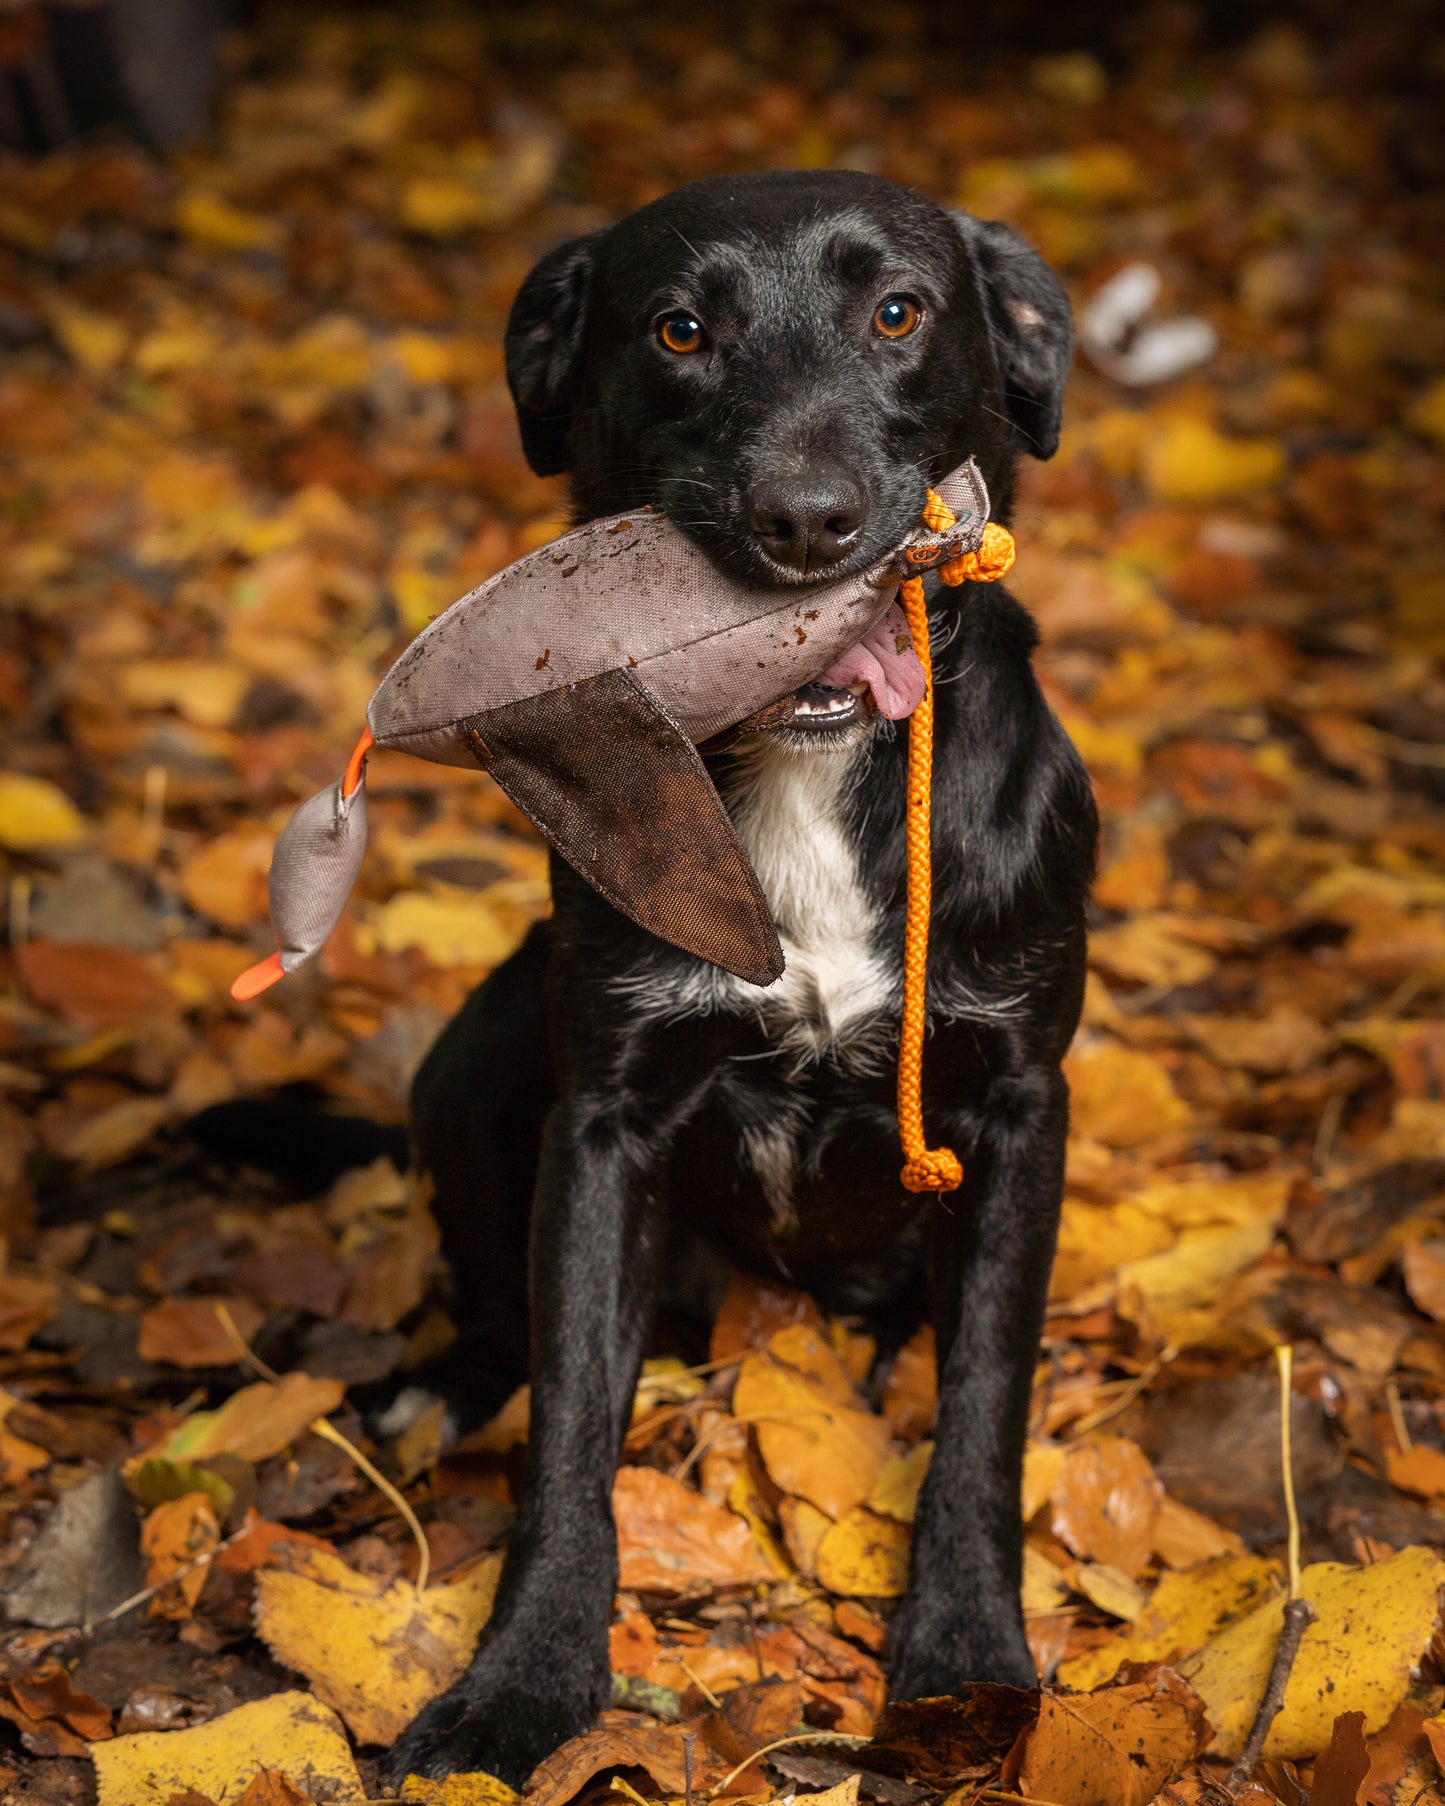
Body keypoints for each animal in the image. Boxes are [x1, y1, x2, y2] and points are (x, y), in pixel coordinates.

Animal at [390, 166, 1090, 1777]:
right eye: (679, 330)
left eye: (897, 311)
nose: (807, 522)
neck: (808, 769)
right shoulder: (605, 1122)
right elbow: (569, 1426)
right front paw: (522, 1681)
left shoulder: (1020, 1108)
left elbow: (984, 1407)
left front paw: (965, 1659)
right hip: (468, 1061)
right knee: (491, 1300)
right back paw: (442, 1387)